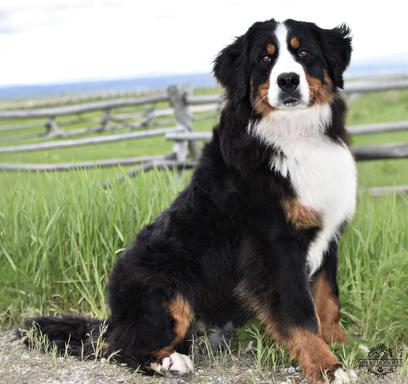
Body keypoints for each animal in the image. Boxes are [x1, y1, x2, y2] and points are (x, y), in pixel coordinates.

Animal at [23, 19, 358, 384]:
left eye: (304, 52)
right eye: (265, 59)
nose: (287, 80)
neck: (295, 135)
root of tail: (114, 316)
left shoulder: (328, 233)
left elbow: (327, 299)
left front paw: (345, 344)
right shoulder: (274, 244)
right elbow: (298, 312)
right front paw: (328, 366)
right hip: (168, 288)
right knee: (121, 348)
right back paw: (171, 362)